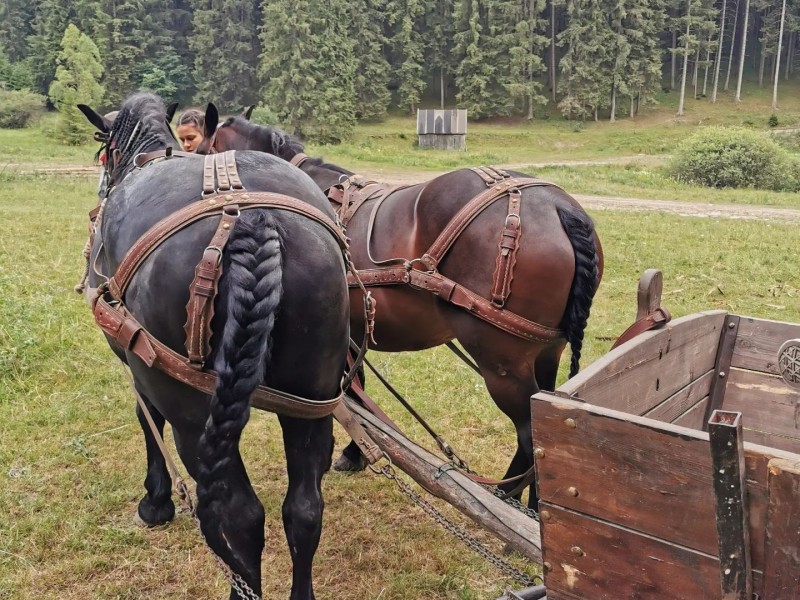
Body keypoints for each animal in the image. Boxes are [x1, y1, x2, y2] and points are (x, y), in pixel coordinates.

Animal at [77, 93, 351, 600]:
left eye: (102, 148)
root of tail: (253, 221)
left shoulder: (137, 364)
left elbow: (147, 420)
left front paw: (155, 501)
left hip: (194, 413)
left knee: (239, 516)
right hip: (312, 395)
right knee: (304, 510)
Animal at [198, 107, 604, 508]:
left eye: (199, 150)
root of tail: (559, 208)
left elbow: (351, 395)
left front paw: (345, 453)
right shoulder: (352, 333)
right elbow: (356, 390)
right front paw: (354, 453)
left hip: (502, 362)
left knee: (530, 436)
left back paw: (512, 500)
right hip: (546, 351)